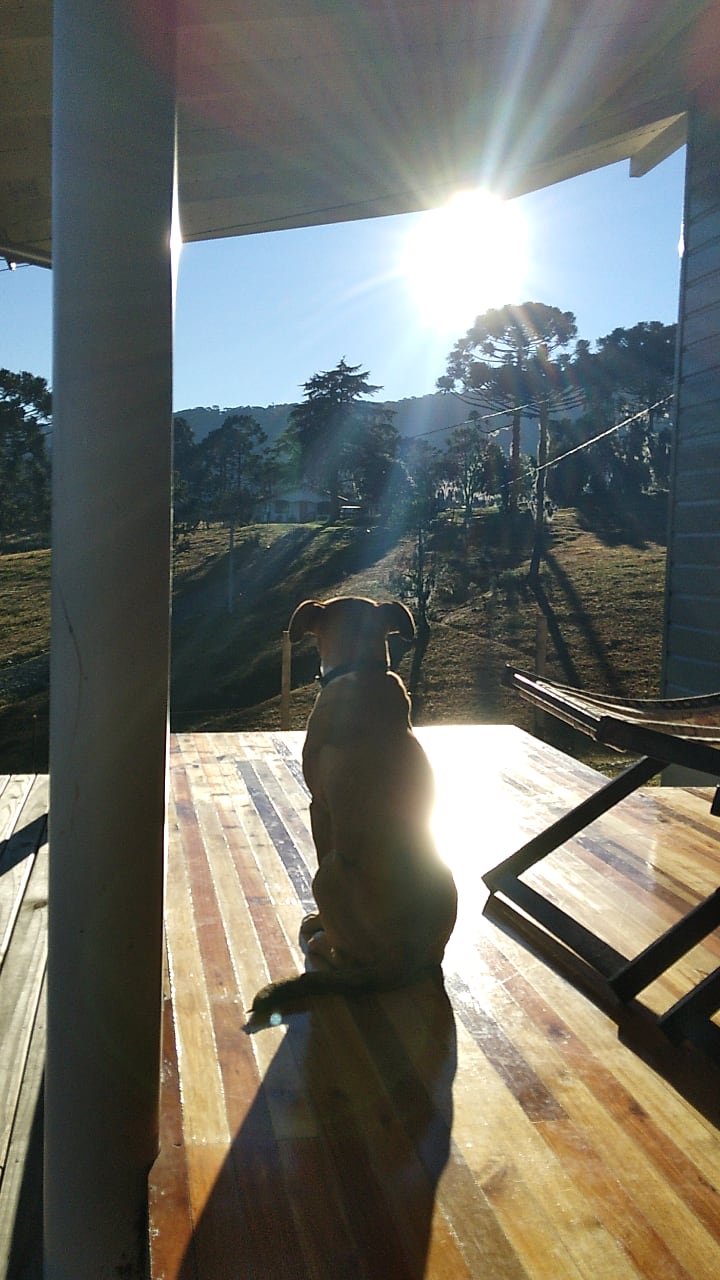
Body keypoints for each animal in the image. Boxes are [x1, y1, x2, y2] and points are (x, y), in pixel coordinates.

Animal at [249, 591, 456, 1018]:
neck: (360, 670)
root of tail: (404, 960)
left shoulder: (319, 807)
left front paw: (316, 921)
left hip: (329, 871)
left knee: (341, 954)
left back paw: (319, 940)